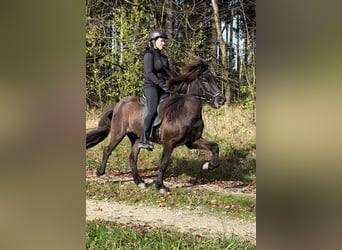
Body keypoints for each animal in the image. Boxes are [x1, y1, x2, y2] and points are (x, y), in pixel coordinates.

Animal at [85, 57, 226, 193]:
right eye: (204, 80)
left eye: (214, 79)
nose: (221, 100)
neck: (185, 112)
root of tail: (119, 104)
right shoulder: (169, 143)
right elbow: (163, 164)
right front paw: (160, 186)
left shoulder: (192, 141)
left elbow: (215, 147)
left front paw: (208, 165)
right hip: (118, 133)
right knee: (107, 150)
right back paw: (100, 172)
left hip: (137, 138)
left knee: (132, 158)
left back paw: (139, 182)